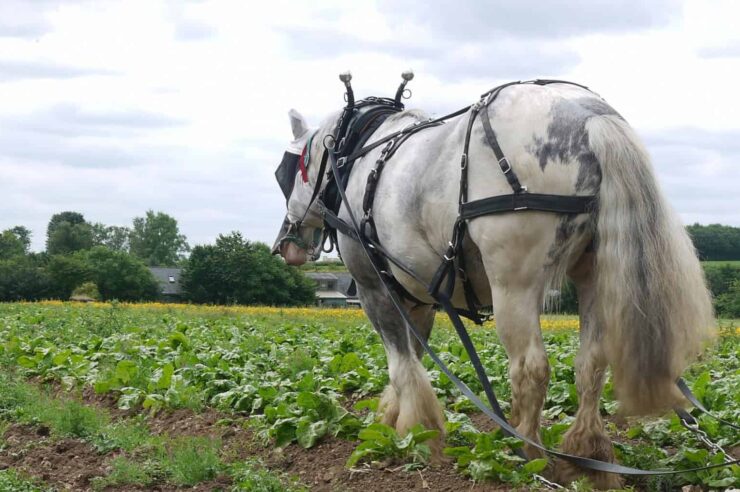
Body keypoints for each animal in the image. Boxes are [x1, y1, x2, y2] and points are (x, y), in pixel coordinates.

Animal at [270, 79, 712, 486]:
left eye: (283, 171)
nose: (284, 244)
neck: (357, 157)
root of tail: (590, 117)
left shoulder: (374, 287)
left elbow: (401, 362)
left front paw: (414, 433)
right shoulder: (416, 297)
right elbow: (415, 355)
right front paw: (395, 419)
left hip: (513, 283)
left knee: (531, 368)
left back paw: (526, 455)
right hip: (592, 274)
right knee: (591, 363)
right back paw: (586, 455)